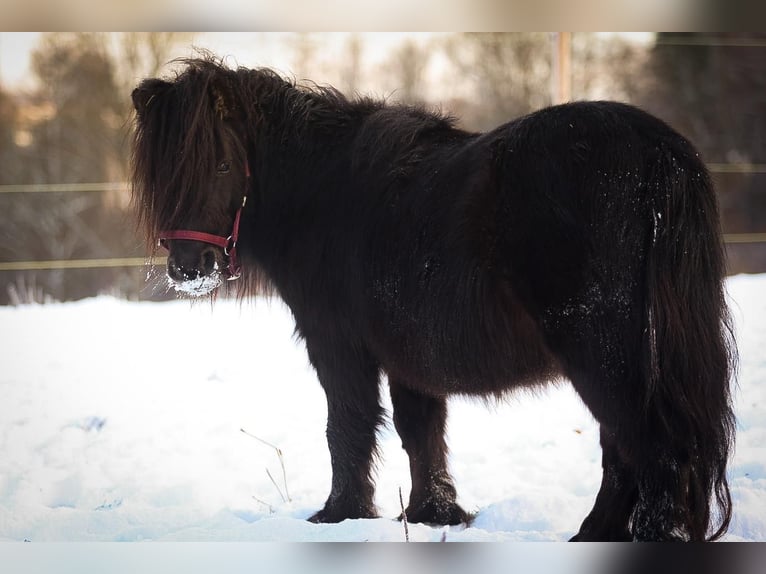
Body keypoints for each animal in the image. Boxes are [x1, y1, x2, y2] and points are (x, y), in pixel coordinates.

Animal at [130, 56, 736, 541]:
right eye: (163, 173)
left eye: (221, 164)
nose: (188, 268)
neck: (325, 194)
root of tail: (658, 152)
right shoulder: (408, 355)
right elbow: (421, 432)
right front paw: (433, 514)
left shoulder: (339, 344)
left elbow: (348, 425)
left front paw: (338, 515)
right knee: (628, 447)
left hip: (603, 351)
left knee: (653, 447)